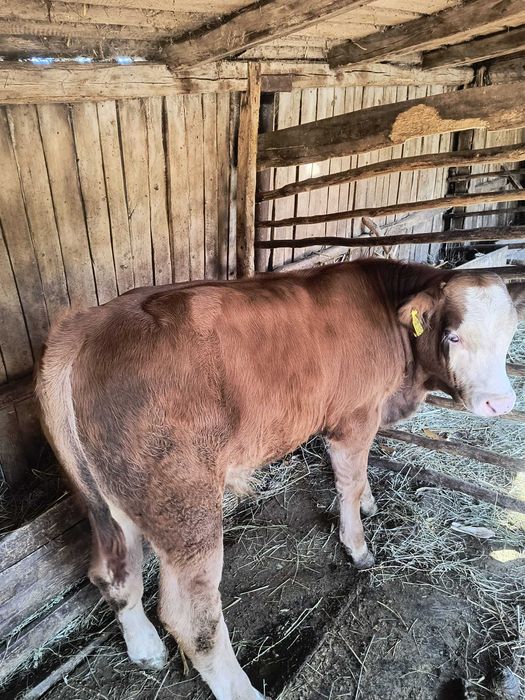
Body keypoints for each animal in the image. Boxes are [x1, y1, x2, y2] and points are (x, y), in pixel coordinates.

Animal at [36, 258, 524, 700]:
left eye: (509, 335)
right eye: (453, 335)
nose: (500, 404)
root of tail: (88, 324)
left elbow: (362, 472)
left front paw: (370, 503)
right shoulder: (353, 417)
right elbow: (348, 481)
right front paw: (358, 545)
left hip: (106, 503)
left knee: (114, 575)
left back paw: (145, 650)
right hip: (185, 504)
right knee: (191, 617)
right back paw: (240, 690)